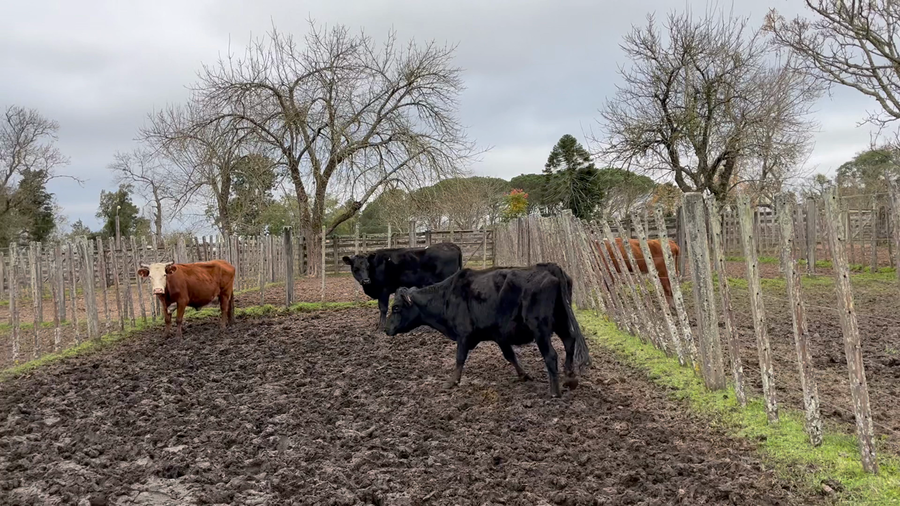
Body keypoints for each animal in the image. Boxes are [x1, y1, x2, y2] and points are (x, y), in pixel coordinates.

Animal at [384, 262, 591, 398]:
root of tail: (549, 268)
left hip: (540, 328)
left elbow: (459, 358)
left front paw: (452, 382)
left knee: (551, 355)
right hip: (561, 320)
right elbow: (510, 356)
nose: (386, 328)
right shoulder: (499, 336)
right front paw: (523, 375)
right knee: (569, 342)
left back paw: (554, 391)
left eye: (396, 308)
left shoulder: (463, 335)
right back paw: (569, 378)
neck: (447, 296)